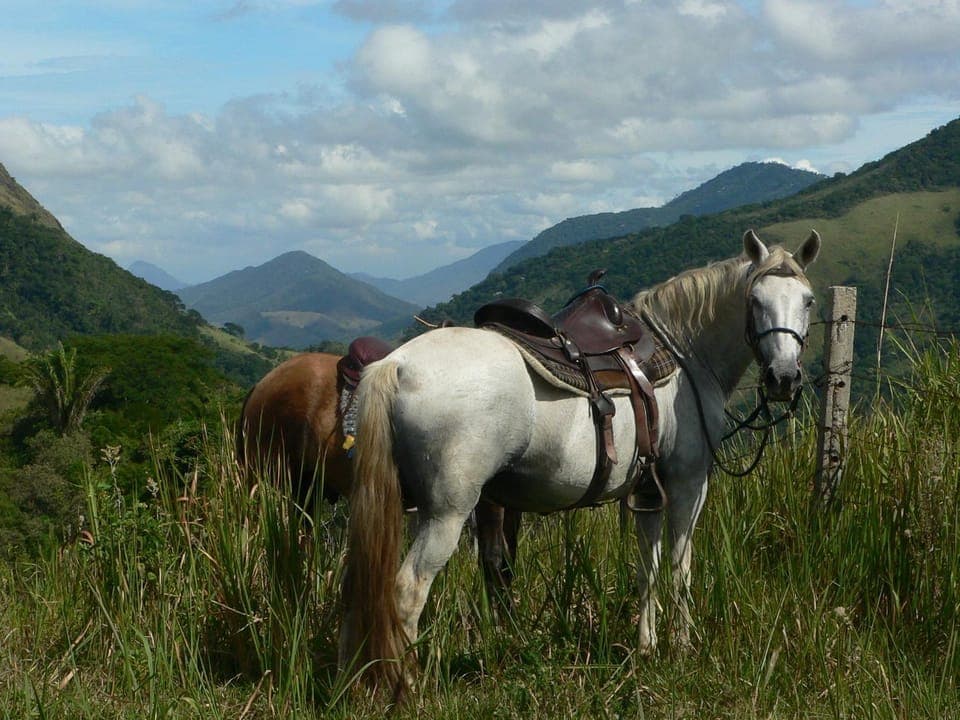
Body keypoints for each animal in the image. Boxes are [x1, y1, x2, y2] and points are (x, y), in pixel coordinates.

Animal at [338, 228, 821, 693]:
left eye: (808, 300)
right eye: (755, 301)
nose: (783, 378)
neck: (684, 355)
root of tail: (396, 364)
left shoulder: (648, 491)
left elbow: (648, 566)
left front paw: (647, 646)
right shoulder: (688, 484)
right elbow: (680, 566)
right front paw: (682, 647)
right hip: (446, 512)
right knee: (407, 590)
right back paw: (408, 687)